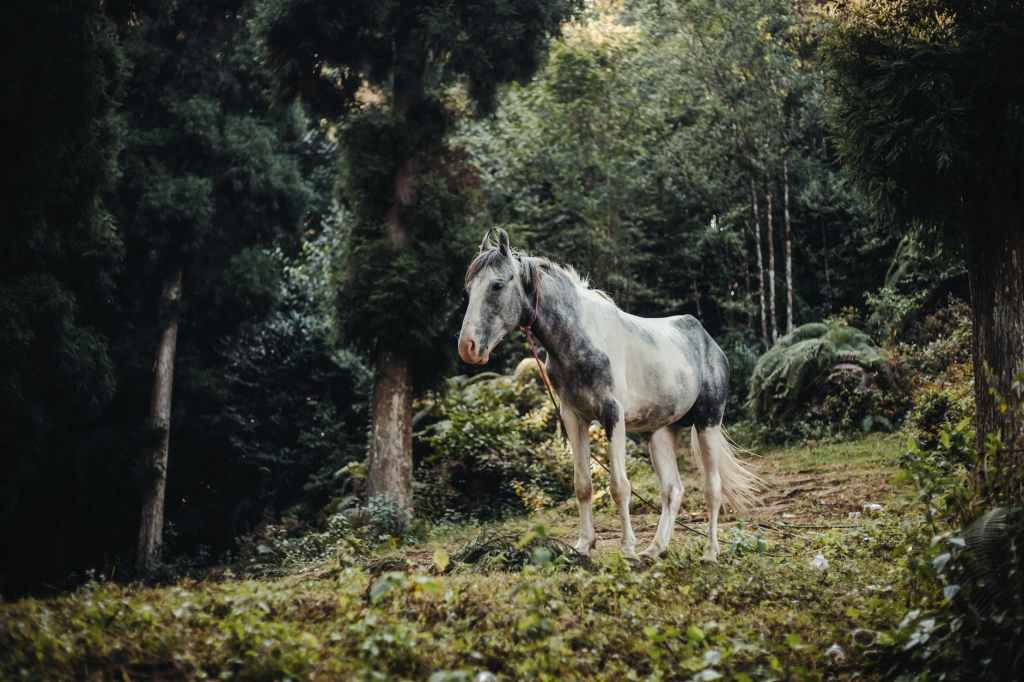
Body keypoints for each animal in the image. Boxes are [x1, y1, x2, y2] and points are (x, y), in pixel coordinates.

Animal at [457, 228, 762, 561]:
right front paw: (583, 546)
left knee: (712, 488)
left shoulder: (613, 415)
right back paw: (654, 549)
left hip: (708, 422)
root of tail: (710, 344)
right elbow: (583, 484)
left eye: (497, 285)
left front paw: (627, 549)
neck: (580, 337)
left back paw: (709, 552)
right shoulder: (573, 417)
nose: (468, 347)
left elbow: (619, 486)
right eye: (469, 288)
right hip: (661, 432)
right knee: (673, 489)